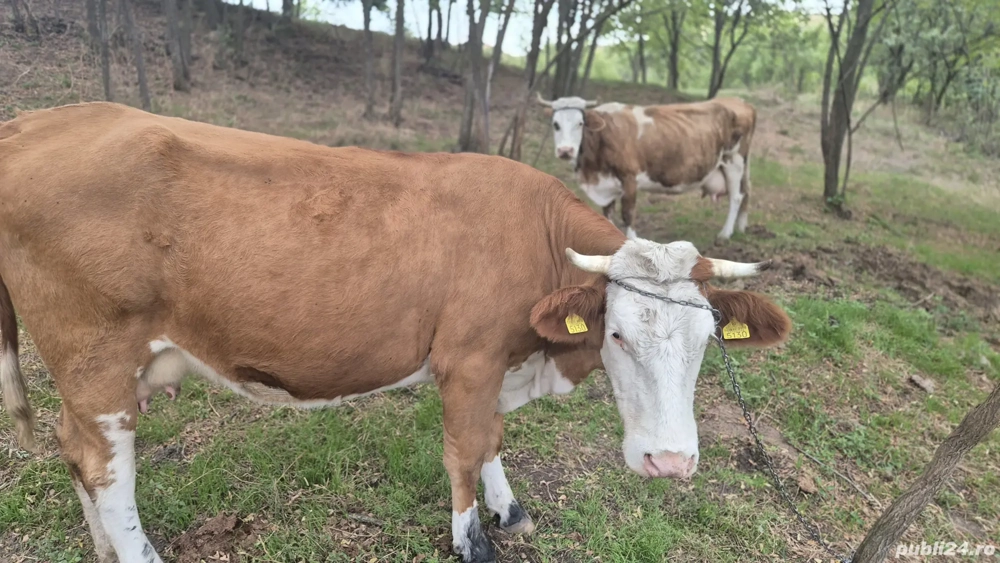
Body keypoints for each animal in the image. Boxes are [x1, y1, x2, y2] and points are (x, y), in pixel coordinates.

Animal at [537, 94, 757, 244]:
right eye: (555, 124)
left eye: (580, 123)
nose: (565, 150)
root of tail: (739, 101)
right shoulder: (606, 185)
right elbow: (607, 213)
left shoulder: (629, 178)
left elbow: (628, 214)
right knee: (746, 191)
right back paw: (741, 226)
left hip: (734, 161)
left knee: (736, 197)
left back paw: (725, 233)